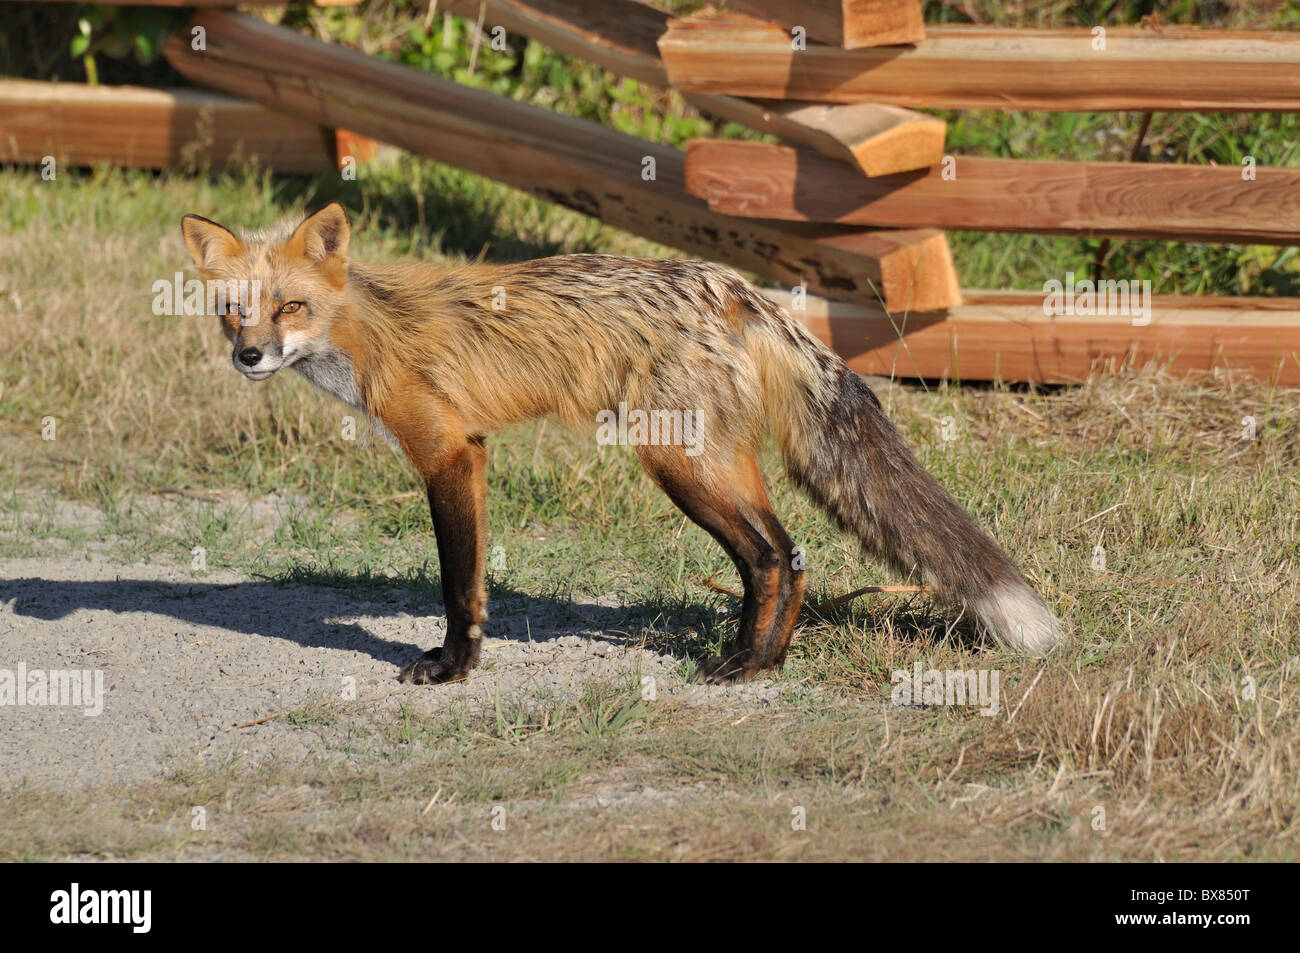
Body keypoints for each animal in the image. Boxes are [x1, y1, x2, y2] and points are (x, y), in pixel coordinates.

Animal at [178, 202, 1060, 686]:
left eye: (290, 306)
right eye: (232, 310)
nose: (249, 356)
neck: (370, 331)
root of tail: (734, 287)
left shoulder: (451, 451)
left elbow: (459, 585)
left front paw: (454, 667)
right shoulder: (468, 450)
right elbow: (471, 581)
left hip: (679, 463)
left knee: (769, 556)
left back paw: (742, 666)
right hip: (718, 461)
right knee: (791, 555)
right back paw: (766, 661)